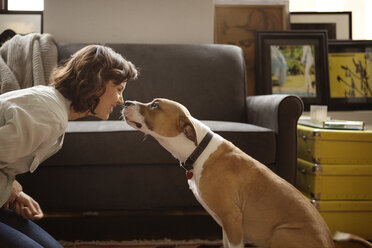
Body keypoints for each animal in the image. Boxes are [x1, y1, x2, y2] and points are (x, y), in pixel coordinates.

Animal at [123, 99, 334, 248]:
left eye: (155, 105)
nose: (126, 103)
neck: (198, 149)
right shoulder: (225, 223)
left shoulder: (231, 217)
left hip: (281, 234)